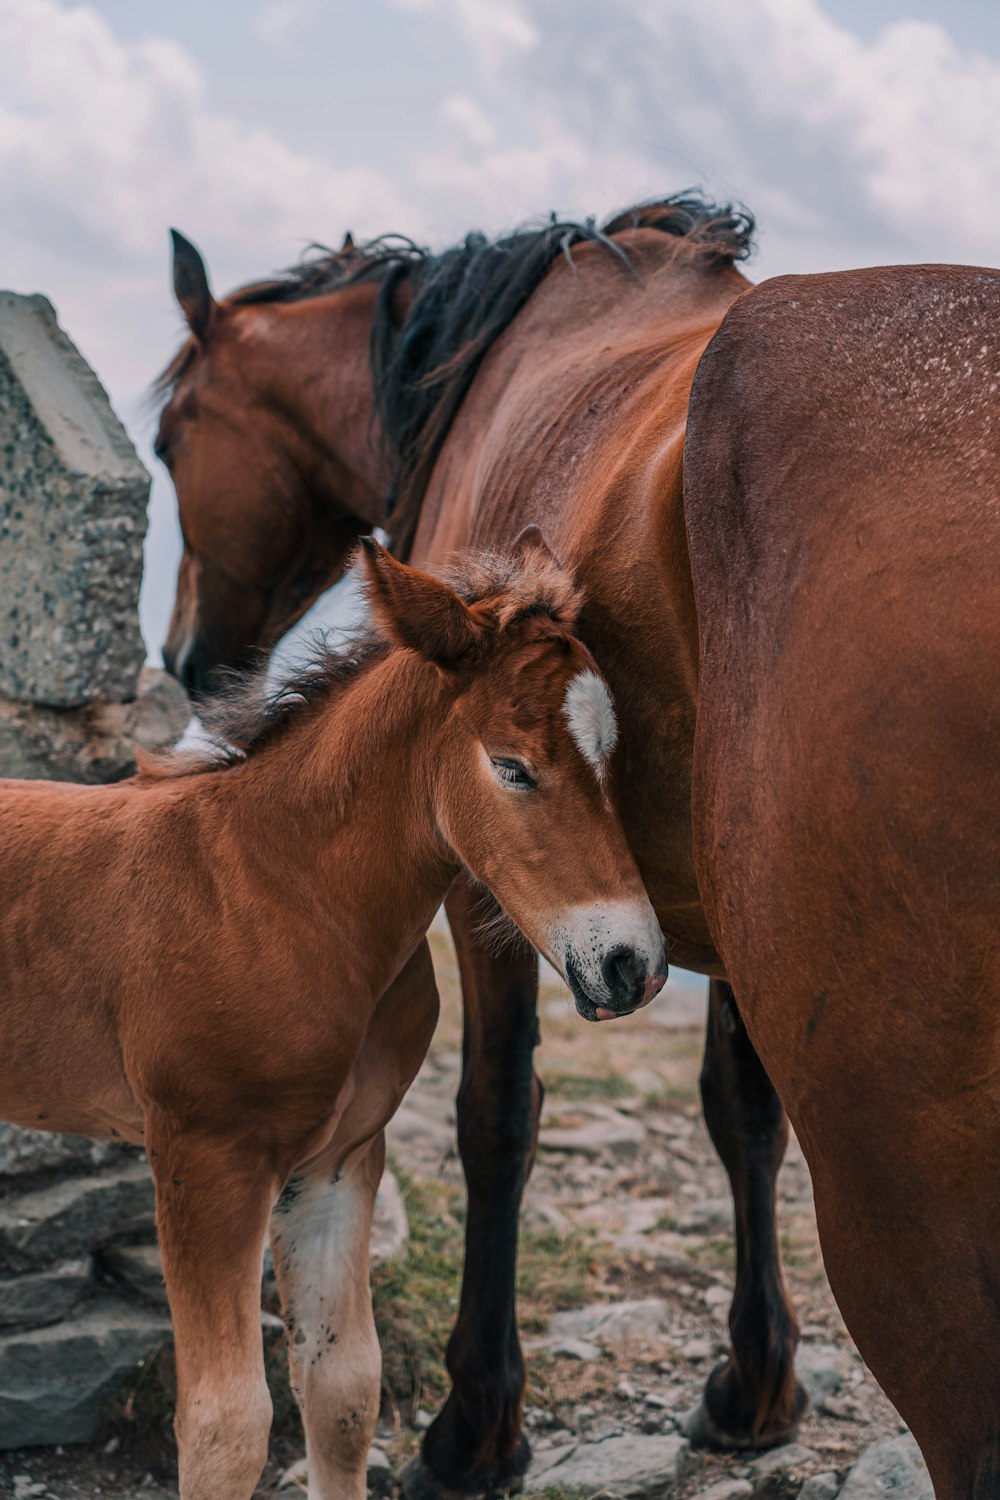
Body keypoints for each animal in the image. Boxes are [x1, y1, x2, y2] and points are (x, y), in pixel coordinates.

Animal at [3, 540, 671, 1500]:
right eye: (512, 767)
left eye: (610, 754)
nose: (633, 965)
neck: (284, 893)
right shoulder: (207, 1159)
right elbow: (226, 1427)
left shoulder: (338, 1160)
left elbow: (343, 1388)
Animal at [156, 196, 809, 1488]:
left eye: (165, 443)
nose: (186, 657)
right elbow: (742, 1112)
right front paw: (754, 1386)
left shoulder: (491, 890)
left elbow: (494, 1117)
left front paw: (473, 1430)